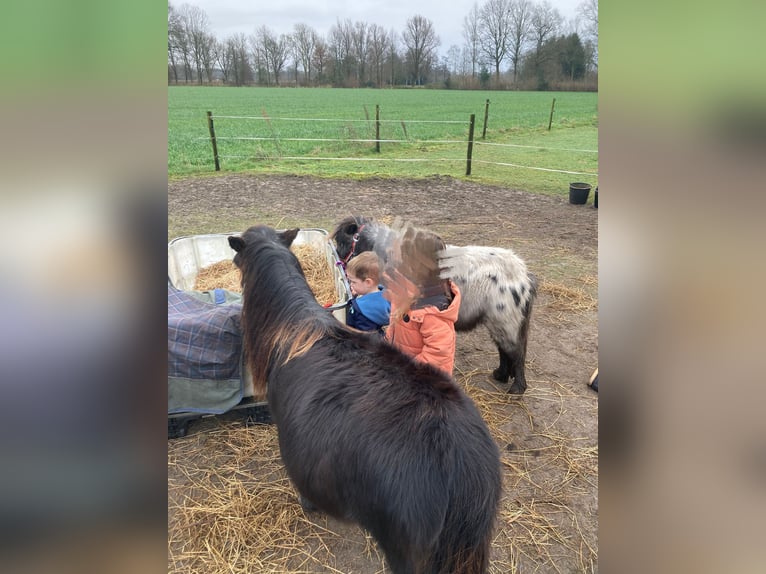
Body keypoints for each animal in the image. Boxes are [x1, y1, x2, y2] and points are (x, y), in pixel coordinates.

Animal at [332, 216, 540, 396]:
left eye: (342, 242)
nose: (339, 263)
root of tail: (525, 276)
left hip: (506, 320)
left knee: (516, 351)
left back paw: (517, 388)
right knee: (504, 349)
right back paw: (500, 375)